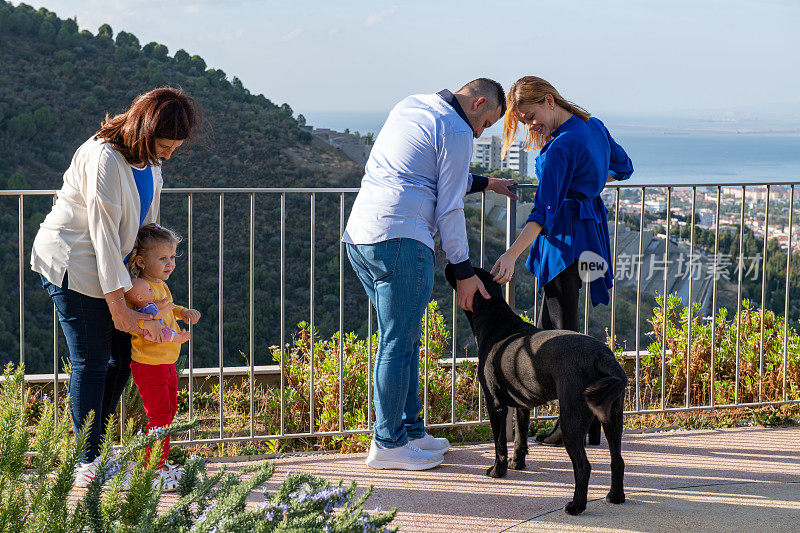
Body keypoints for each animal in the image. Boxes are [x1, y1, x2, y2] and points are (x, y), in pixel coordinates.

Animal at [444, 266, 624, 516]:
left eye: (471, 272)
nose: (449, 264)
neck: (497, 321)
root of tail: (601, 355)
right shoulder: (523, 404)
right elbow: (520, 438)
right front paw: (517, 464)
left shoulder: (495, 404)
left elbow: (500, 443)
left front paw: (498, 470)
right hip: (613, 416)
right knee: (618, 460)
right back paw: (615, 496)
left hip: (572, 420)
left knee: (583, 466)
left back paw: (576, 505)